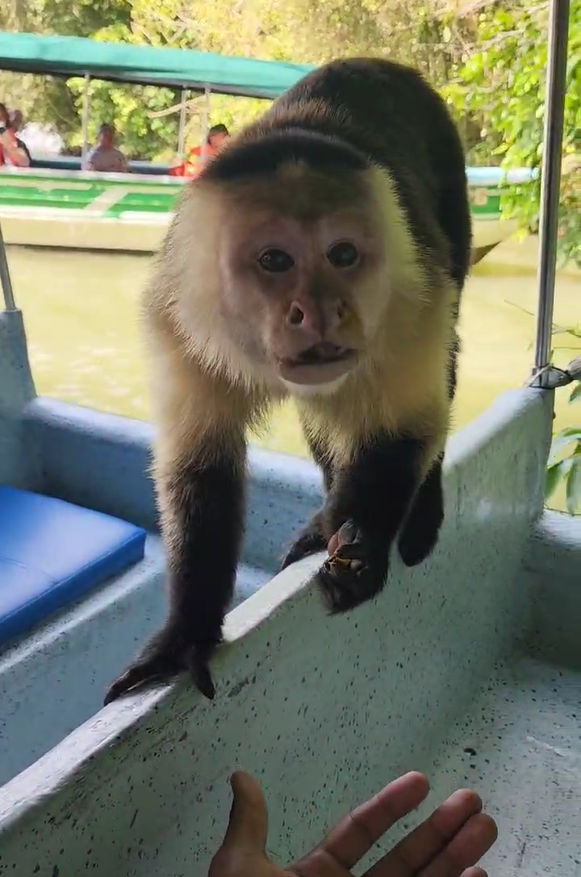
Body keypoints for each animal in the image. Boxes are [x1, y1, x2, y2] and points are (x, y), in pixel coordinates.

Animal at [104, 57, 472, 706]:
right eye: (275, 261)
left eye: (343, 254)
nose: (321, 311)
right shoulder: (177, 318)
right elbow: (200, 466)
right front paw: (186, 633)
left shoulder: (413, 295)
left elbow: (405, 428)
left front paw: (362, 555)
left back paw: (412, 514)